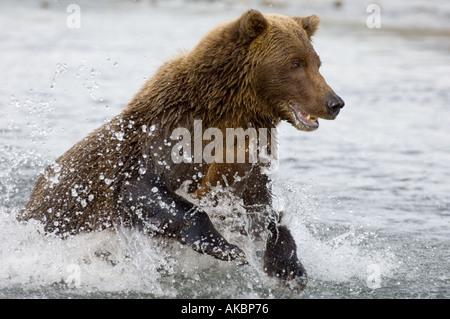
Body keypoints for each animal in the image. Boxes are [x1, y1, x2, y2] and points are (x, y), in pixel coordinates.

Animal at [17, 9, 344, 296]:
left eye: (317, 62)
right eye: (295, 63)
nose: (334, 102)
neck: (229, 114)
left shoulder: (247, 158)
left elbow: (261, 211)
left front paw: (289, 269)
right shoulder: (165, 137)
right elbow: (143, 190)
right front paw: (228, 248)